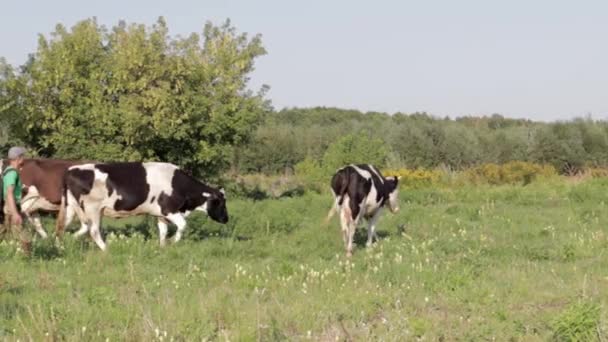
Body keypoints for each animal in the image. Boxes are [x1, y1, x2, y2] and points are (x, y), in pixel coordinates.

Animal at [57, 162, 229, 250]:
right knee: (93, 230)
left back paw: (64, 245)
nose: (226, 219)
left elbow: (163, 231)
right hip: (92, 208)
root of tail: (71, 170)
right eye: (220, 202)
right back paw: (106, 249)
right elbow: (183, 225)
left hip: (73, 207)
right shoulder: (169, 210)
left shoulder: (161, 214)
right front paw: (172, 241)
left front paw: (162, 247)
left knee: (66, 228)